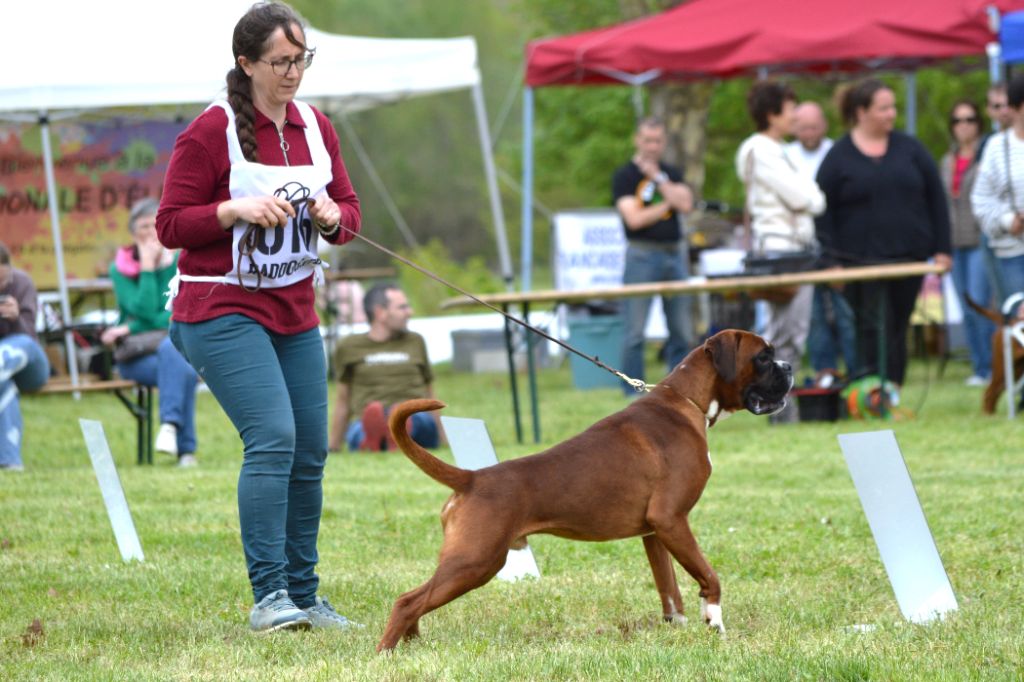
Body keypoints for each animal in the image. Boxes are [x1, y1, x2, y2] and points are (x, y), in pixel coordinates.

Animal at [376, 327, 790, 647]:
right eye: (764, 357)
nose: (788, 367)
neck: (687, 402)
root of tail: (473, 477)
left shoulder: (656, 532)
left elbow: (669, 589)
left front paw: (679, 629)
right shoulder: (672, 520)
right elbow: (708, 576)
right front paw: (715, 622)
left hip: (470, 562)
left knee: (415, 601)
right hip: (475, 562)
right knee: (407, 601)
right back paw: (387, 654)